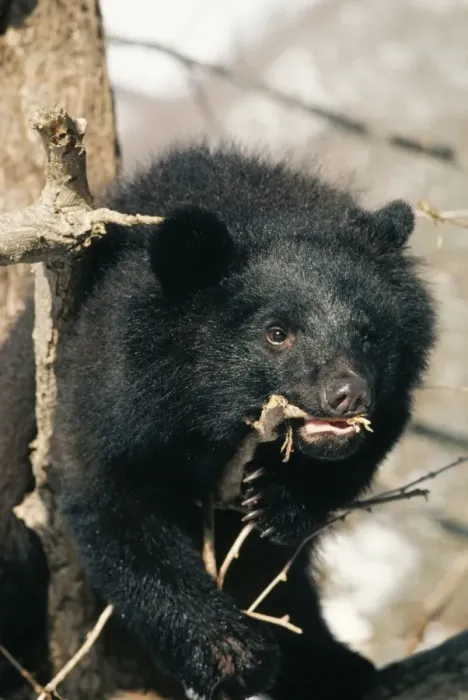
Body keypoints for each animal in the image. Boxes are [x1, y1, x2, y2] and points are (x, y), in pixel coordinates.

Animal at [0, 142, 435, 700]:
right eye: (277, 333)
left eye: (368, 333)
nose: (349, 395)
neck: (212, 420)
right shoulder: (112, 392)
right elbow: (114, 507)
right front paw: (233, 657)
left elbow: (347, 469)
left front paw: (277, 503)